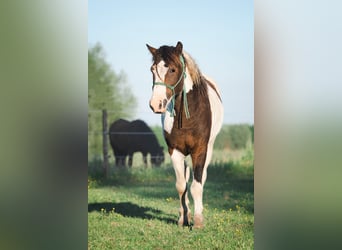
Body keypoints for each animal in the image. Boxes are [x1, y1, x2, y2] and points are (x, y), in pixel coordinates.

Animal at [146, 41, 224, 229]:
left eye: (173, 69)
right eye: (152, 69)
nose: (156, 104)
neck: (188, 115)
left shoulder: (200, 150)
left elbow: (197, 185)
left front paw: (198, 221)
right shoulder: (175, 151)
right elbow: (181, 185)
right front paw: (183, 218)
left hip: (208, 149)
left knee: (201, 178)